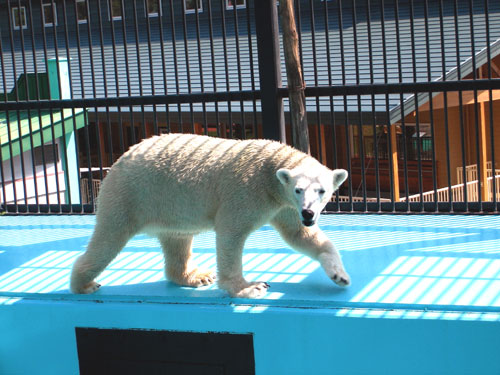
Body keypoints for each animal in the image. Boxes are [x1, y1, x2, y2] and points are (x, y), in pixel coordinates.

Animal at [70, 134, 350, 298]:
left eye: (322, 190)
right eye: (299, 189)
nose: (309, 212)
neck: (268, 170)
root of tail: (118, 161)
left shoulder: (284, 206)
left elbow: (300, 235)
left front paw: (340, 275)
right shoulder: (246, 191)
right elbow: (230, 233)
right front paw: (249, 287)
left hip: (169, 208)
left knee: (177, 241)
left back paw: (196, 276)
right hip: (129, 196)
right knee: (108, 240)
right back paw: (84, 284)